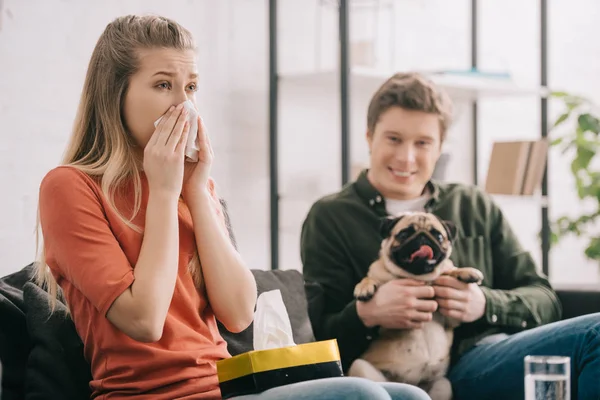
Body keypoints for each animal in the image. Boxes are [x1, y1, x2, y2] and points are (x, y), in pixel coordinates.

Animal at [350, 211, 486, 398]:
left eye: (438, 236)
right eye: (404, 234)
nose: (423, 237)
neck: (420, 278)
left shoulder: (452, 318)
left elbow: (449, 270)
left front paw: (466, 271)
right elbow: (369, 278)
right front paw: (364, 287)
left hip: (443, 385)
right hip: (361, 367)